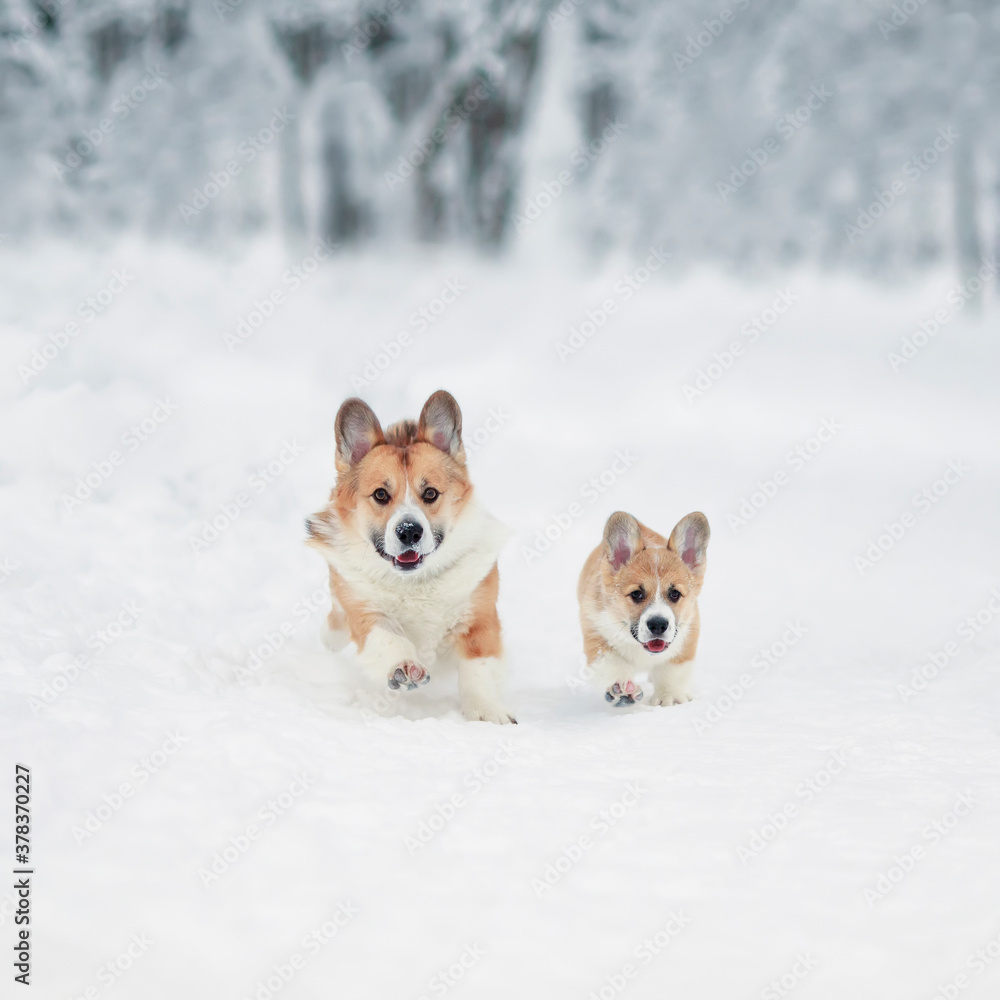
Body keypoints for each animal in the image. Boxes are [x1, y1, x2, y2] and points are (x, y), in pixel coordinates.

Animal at [304, 390, 516, 728]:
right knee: (335, 623)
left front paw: (487, 712)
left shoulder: (479, 619)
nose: (409, 531)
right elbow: (387, 639)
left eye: (430, 494)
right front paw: (404, 668)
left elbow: (477, 668)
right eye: (380, 494)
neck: (415, 581)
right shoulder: (364, 612)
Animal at [576, 512, 708, 708]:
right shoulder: (596, 634)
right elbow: (613, 664)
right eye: (636, 594)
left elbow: (671, 670)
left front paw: (669, 696)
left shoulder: (687, 637)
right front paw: (622, 689)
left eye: (675, 593)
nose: (658, 625)